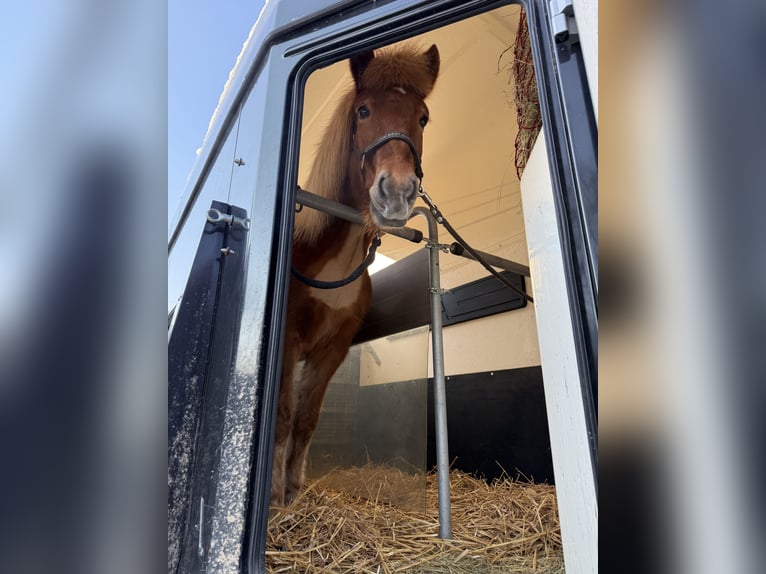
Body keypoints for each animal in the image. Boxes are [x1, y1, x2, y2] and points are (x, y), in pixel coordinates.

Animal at [271, 43, 440, 506]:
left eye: (423, 117)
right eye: (363, 111)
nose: (397, 192)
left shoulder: (333, 348)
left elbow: (307, 418)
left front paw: (293, 490)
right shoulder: (288, 340)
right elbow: (283, 414)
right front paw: (274, 497)